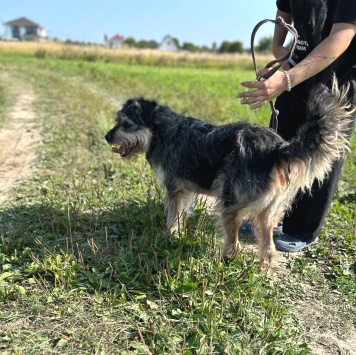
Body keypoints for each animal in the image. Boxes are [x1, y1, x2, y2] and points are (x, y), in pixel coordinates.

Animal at [105, 78, 354, 268]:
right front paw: (178, 232)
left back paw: (224, 262)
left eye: (127, 124)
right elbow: (182, 214)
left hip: (229, 203)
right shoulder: (185, 191)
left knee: (235, 244)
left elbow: (172, 216)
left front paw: (169, 236)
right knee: (268, 246)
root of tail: (277, 148)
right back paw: (263, 270)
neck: (161, 131)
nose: (107, 137)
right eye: (117, 120)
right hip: (269, 212)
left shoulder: (174, 189)